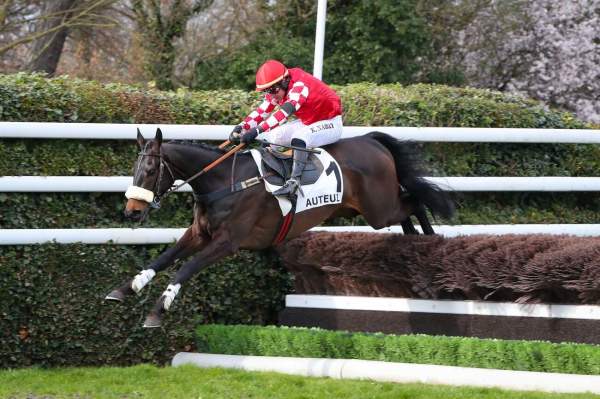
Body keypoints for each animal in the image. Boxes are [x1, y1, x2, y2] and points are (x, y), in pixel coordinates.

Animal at [105, 129, 452, 328]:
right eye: (134, 168)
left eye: (151, 169)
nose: (132, 211)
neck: (224, 181)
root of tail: (369, 140)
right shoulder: (199, 234)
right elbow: (163, 259)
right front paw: (124, 289)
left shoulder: (227, 242)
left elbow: (185, 268)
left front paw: (156, 311)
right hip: (368, 209)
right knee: (408, 209)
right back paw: (414, 246)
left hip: (379, 209)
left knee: (415, 201)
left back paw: (432, 245)